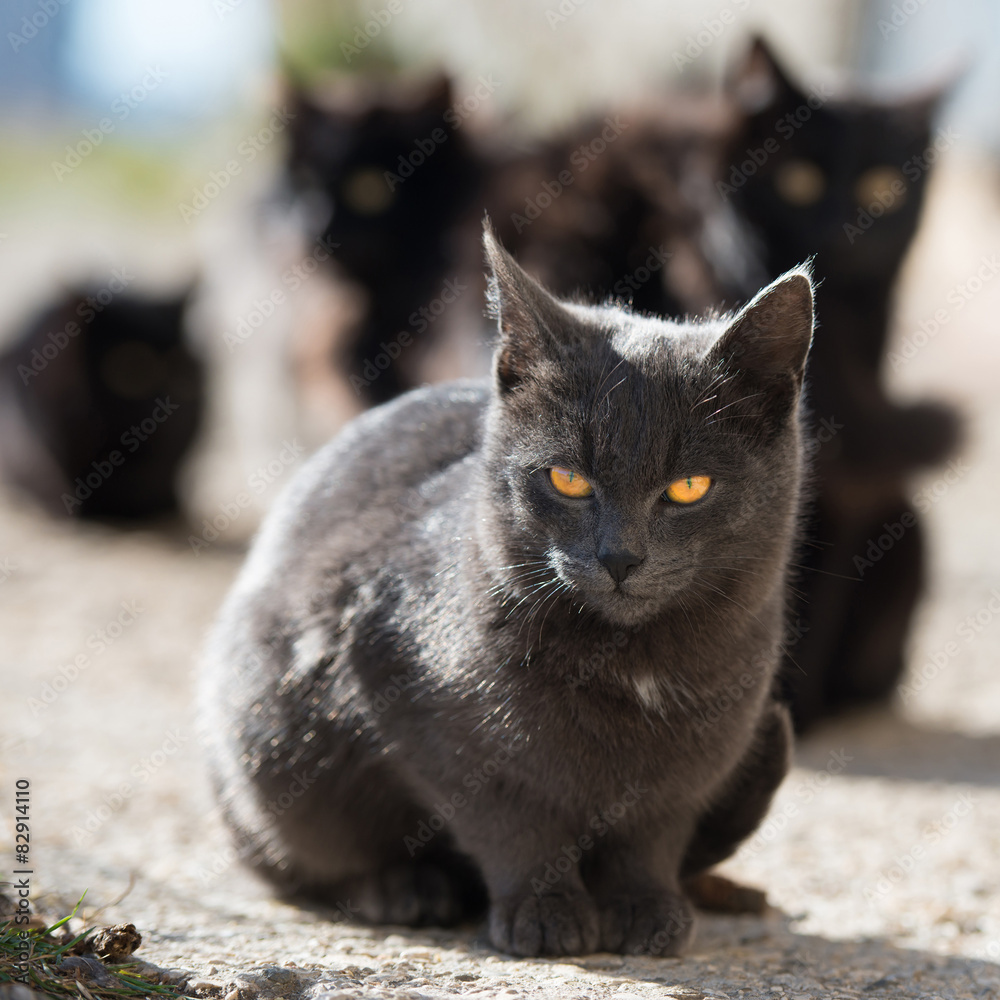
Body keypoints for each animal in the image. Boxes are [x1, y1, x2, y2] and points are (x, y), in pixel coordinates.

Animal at [201, 223, 812, 956]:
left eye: (690, 487)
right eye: (568, 480)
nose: (620, 556)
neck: (630, 666)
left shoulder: (689, 768)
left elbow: (649, 839)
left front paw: (646, 908)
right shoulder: (438, 725)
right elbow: (517, 827)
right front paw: (545, 912)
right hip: (267, 742)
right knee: (299, 861)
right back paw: (404, 888)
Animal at [728, 39, 960, 732]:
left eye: (882, 188)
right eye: (799, 181)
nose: (841, 229)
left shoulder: (851, 483)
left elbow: (824, 586)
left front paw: (795, 712)